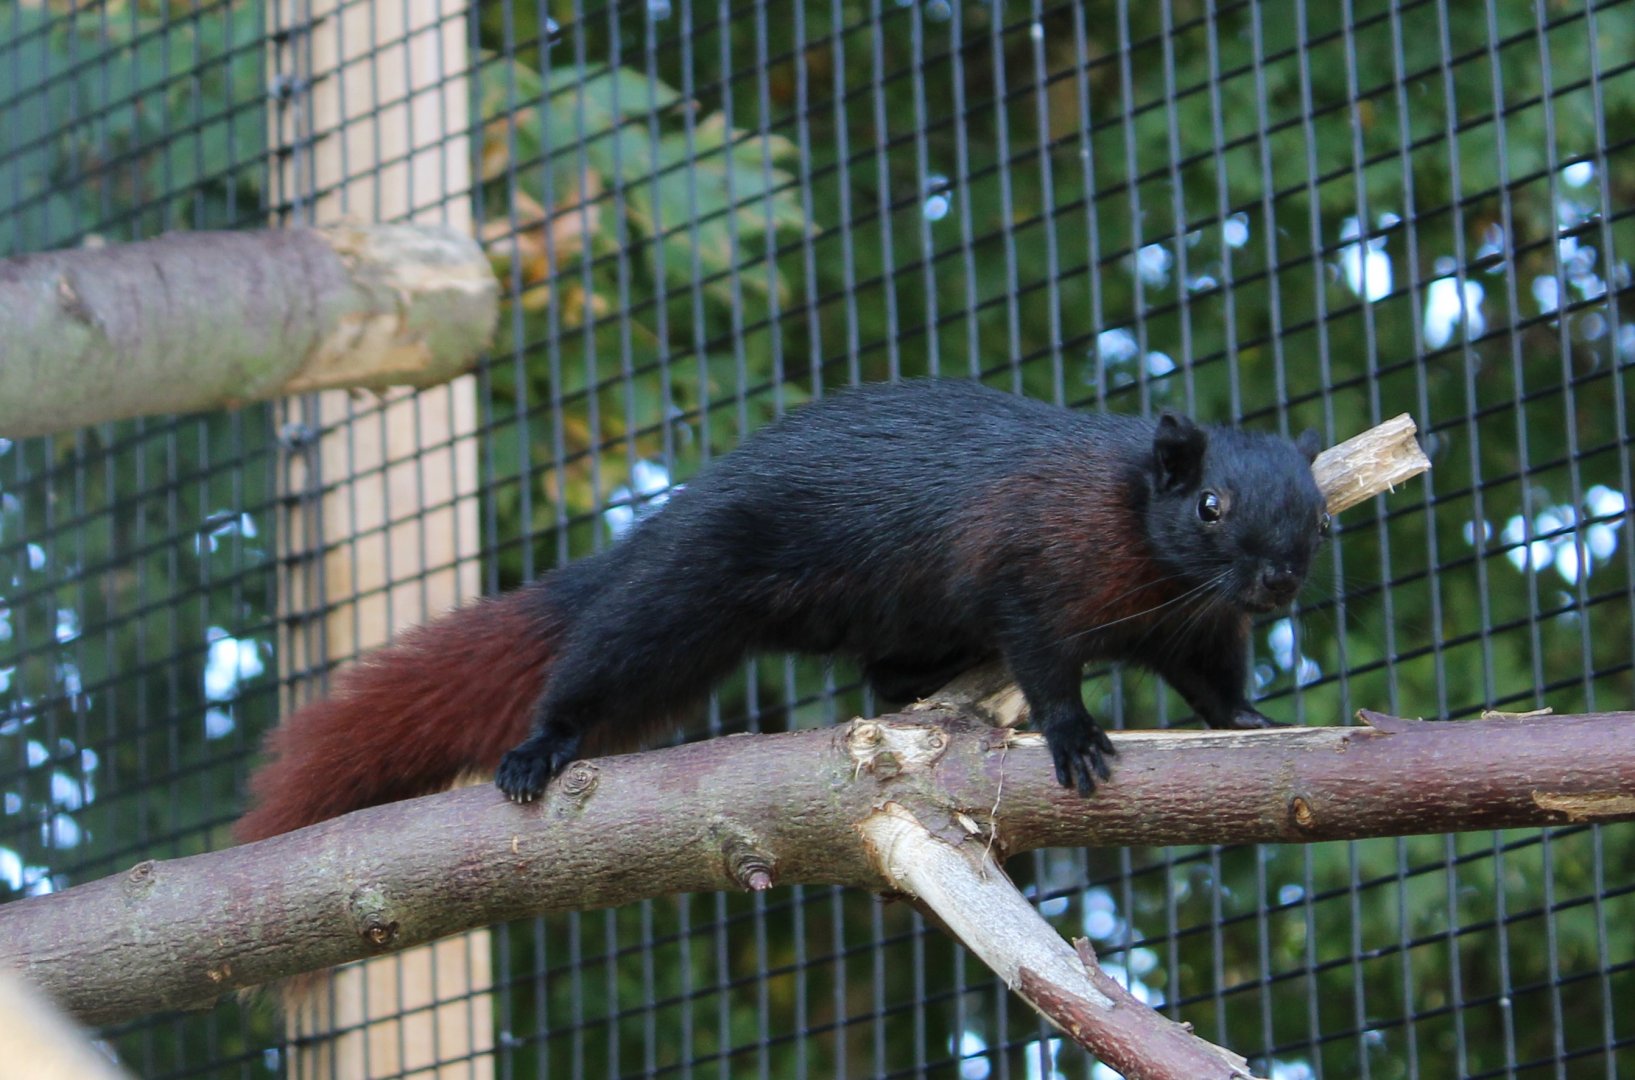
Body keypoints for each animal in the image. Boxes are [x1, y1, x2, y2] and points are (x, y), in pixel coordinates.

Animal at [236, 378, 1330, 842]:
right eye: (1210, 503)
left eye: (1318, 512)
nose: (1278, 580)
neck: (1156, 569)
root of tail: (670, 521)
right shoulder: (1031, 569)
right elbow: (1044, 663)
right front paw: (1074, 737)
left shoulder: (1195, 630)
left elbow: (1214, 687)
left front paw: (1257, 724)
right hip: (682, 607)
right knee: (592, 662)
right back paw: (541, 749)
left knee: (887, 673)